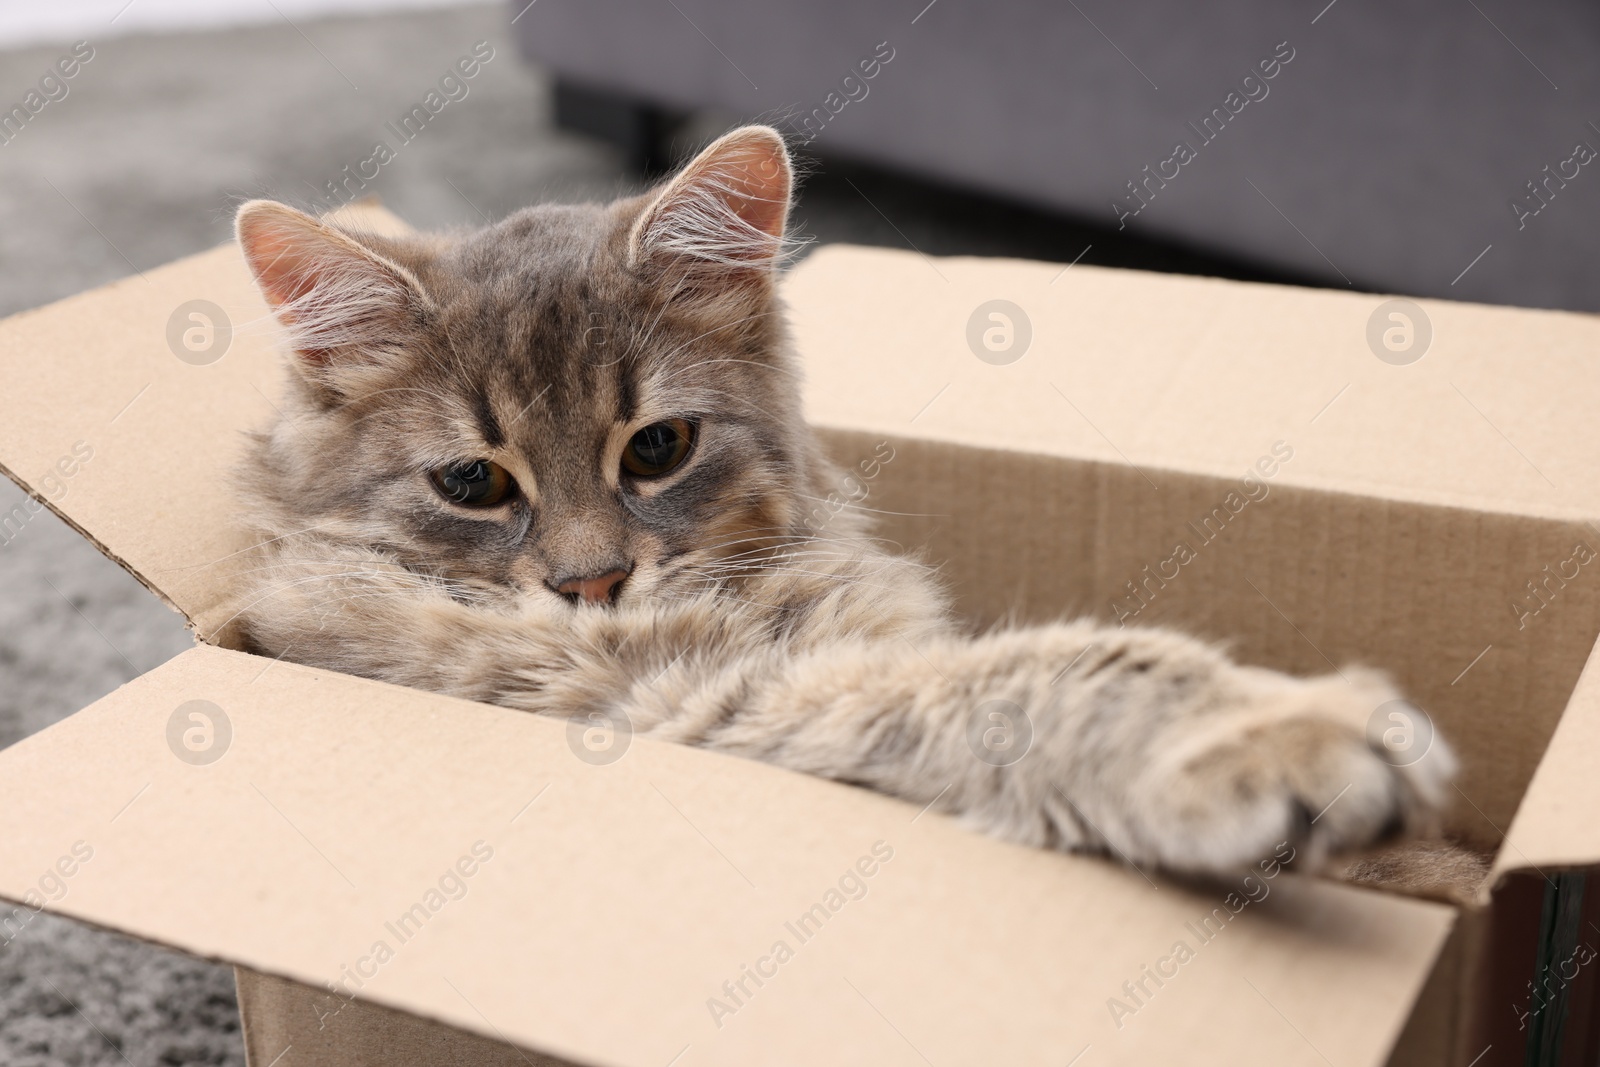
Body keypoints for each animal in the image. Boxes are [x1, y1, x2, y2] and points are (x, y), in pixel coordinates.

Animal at [228, 123, 1465, 883]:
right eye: (473, 482)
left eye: (659, 448)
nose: (593, 583)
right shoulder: (709, 697)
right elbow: (1050, 675)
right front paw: (1289, 730)